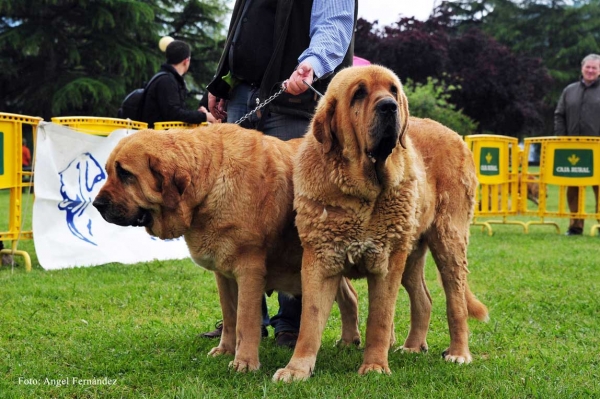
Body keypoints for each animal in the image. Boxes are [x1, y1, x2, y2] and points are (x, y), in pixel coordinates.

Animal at [91, 125, 358, 372]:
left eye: (125, 174)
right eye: (109, 172)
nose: (97, 204)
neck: (209, 183)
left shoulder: (249, 271)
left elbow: (245, 320)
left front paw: (244, 362)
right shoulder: (223, 273)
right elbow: (230, 316)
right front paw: (225, 350)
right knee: (350, 296)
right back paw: (348, 341)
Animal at [274, 66, 490, 384]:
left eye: (393, 90)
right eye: (359, 93)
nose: (389, 106)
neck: (362, 192)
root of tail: (454, 134)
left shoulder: (387, 262)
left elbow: (380, 318)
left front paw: (375, 366)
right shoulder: (321, 259)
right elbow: (310, 321)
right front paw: (296, 369)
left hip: (448, 242)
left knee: (456, 302)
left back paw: (458, 353)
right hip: (410, 250)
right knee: (424, 299)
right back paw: (413, 346)